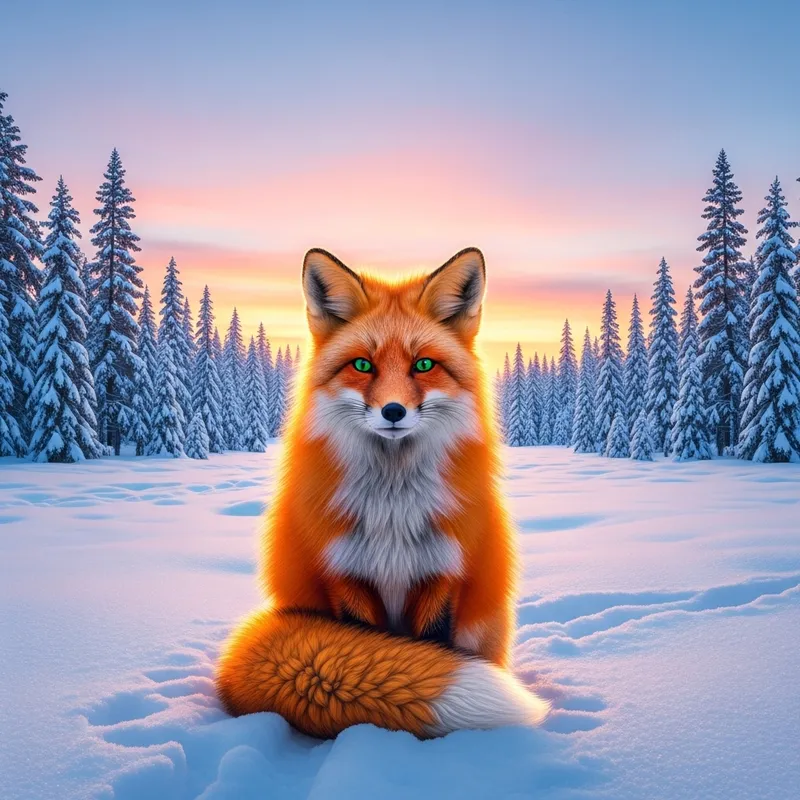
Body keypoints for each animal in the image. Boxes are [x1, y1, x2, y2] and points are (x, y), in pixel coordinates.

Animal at [215, 247, 550, 739]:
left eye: (423, 365)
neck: (393, 509)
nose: (393, 411)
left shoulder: (443, 573)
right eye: (362, 365)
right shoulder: (344, 574)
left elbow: (430, 647)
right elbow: (373, 645)